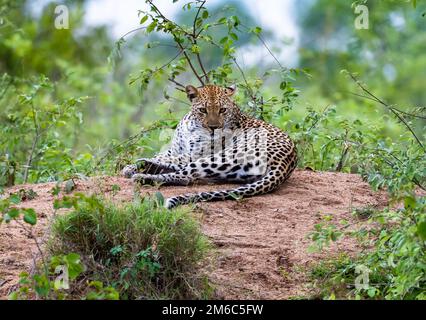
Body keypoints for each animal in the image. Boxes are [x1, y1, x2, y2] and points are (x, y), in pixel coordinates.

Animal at [121, 85, 298, 210]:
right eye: (203, 110)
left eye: (222, 110)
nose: (213, 127)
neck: (192, 125)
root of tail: (286, 162)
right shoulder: (176, 149)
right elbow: (161, 156)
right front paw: (130, 166)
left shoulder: (195, 154)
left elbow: (174, 160)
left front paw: (135, 168)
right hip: (232, 171)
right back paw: (143, 166)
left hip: (224, 156)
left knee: (185, 176)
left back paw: (142, 176)